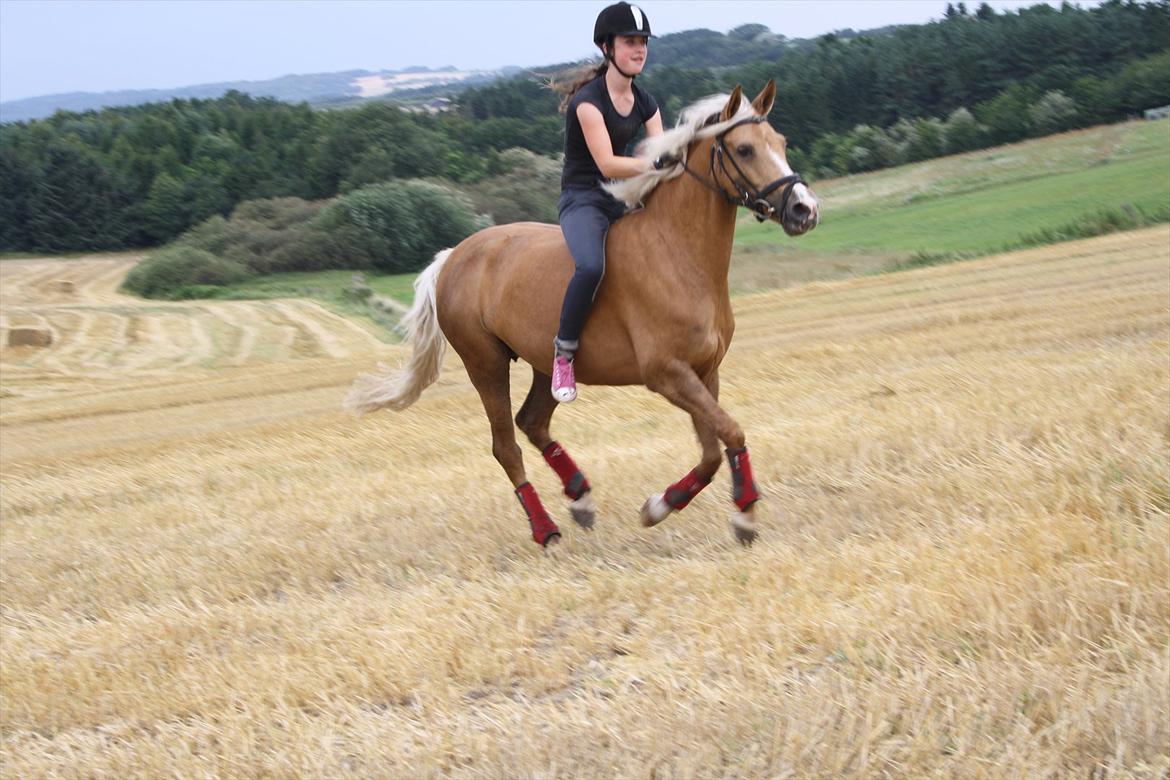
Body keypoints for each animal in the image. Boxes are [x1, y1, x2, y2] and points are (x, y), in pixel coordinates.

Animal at [346, 82, 823, 549]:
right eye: (744, 149)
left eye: (781, 143)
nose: (805, 209)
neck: (678, 252)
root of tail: (452, 257)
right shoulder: (668, 374)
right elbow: (732, 432)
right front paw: (740, 513)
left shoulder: (704, 372)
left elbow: (712, 449)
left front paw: (665, 506)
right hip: (485, 363)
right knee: (506, 445)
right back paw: (546, 530)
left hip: (542, 361)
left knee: (532, 422)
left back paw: (580, 497)